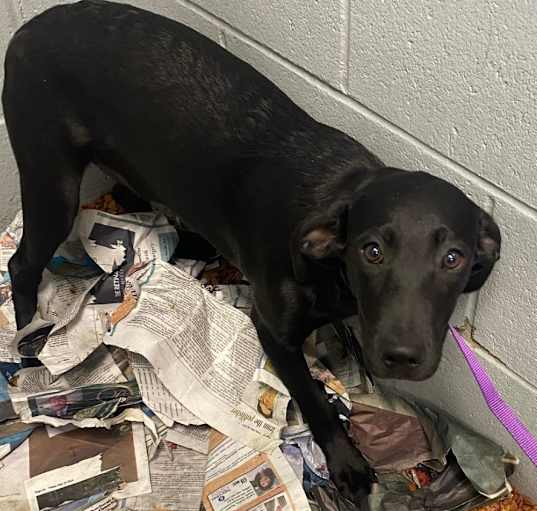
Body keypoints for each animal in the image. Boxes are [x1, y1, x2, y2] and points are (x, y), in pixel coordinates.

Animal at [2, 0, 500, 504]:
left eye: (454, 258)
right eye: (372, 250)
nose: (402, 356)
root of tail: (28, 28)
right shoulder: (274, 331)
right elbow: (313, 399)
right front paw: (346, 461)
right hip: (52, 181)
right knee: (20, 264)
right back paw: (29, 351)